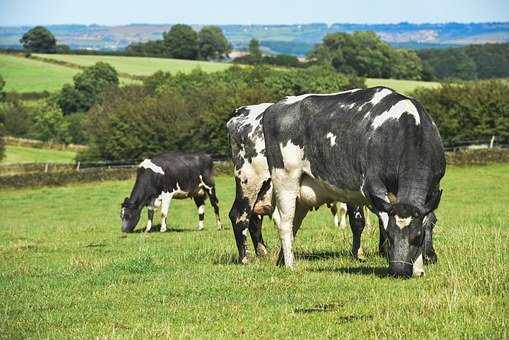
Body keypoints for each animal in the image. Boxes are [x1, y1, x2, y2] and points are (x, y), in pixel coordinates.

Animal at [228, 102, 372, 264]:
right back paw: (245, 259)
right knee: (239, 216)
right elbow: (358, 221)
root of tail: (241, 111)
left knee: (254, 219)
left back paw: (263, 253)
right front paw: (359, 254)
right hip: (250, 184)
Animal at [262, 87, 444, 276]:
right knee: (285, 222)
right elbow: (382, 218)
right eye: (389, 235)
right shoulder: (374, 185)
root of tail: (276, 106)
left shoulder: (433, 189)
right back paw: (290, 265)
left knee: (294, 223)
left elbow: (427, 219)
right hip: (285, 178)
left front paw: (419, 268)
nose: (399, 271)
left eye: (417, 237)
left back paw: (282, 261)